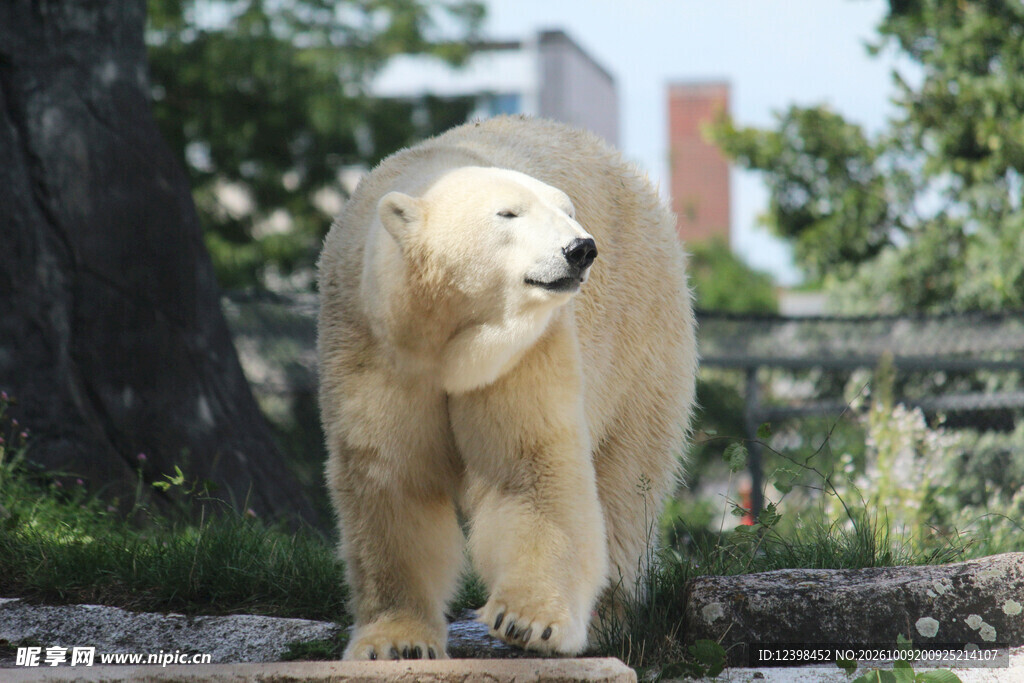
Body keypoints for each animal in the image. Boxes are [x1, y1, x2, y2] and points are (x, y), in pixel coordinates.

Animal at [317, 116, 697, 660]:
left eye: (566, 210)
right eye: (508, 213)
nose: (580, 248)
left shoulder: (525, 349)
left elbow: (530, 463)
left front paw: (530, 622)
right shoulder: (373, 346)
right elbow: (391, 476)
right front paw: (396, 641)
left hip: (642, 334)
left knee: (629, 479)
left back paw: (610, 616)